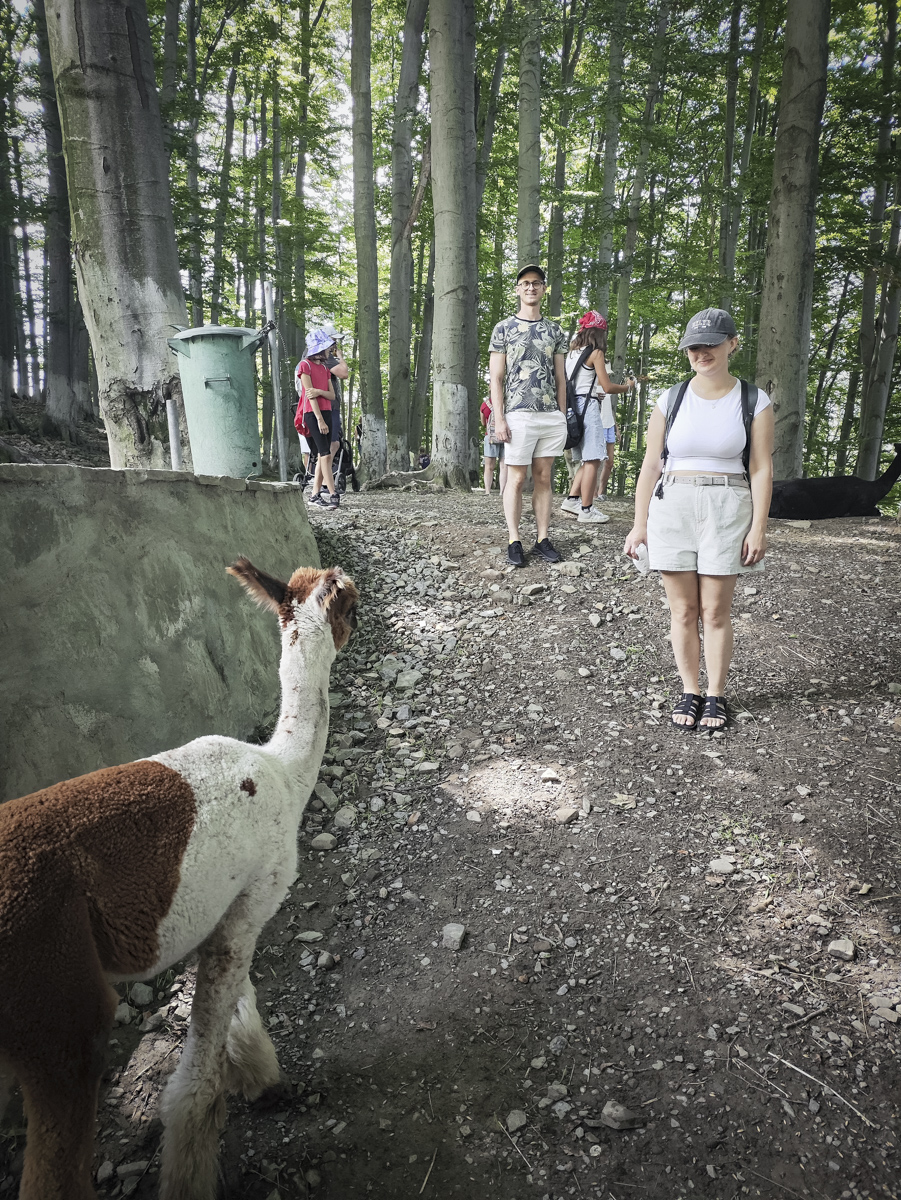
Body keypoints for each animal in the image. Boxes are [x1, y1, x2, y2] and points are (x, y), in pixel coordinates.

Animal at [0, 560, 358, 1200]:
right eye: (354, 608)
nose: (360, 622)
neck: (282, 770)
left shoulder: (217, 908)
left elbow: (241, 1002)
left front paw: (259, 1073)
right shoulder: (253, 900)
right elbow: (196, 1087)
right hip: (55, 1007)